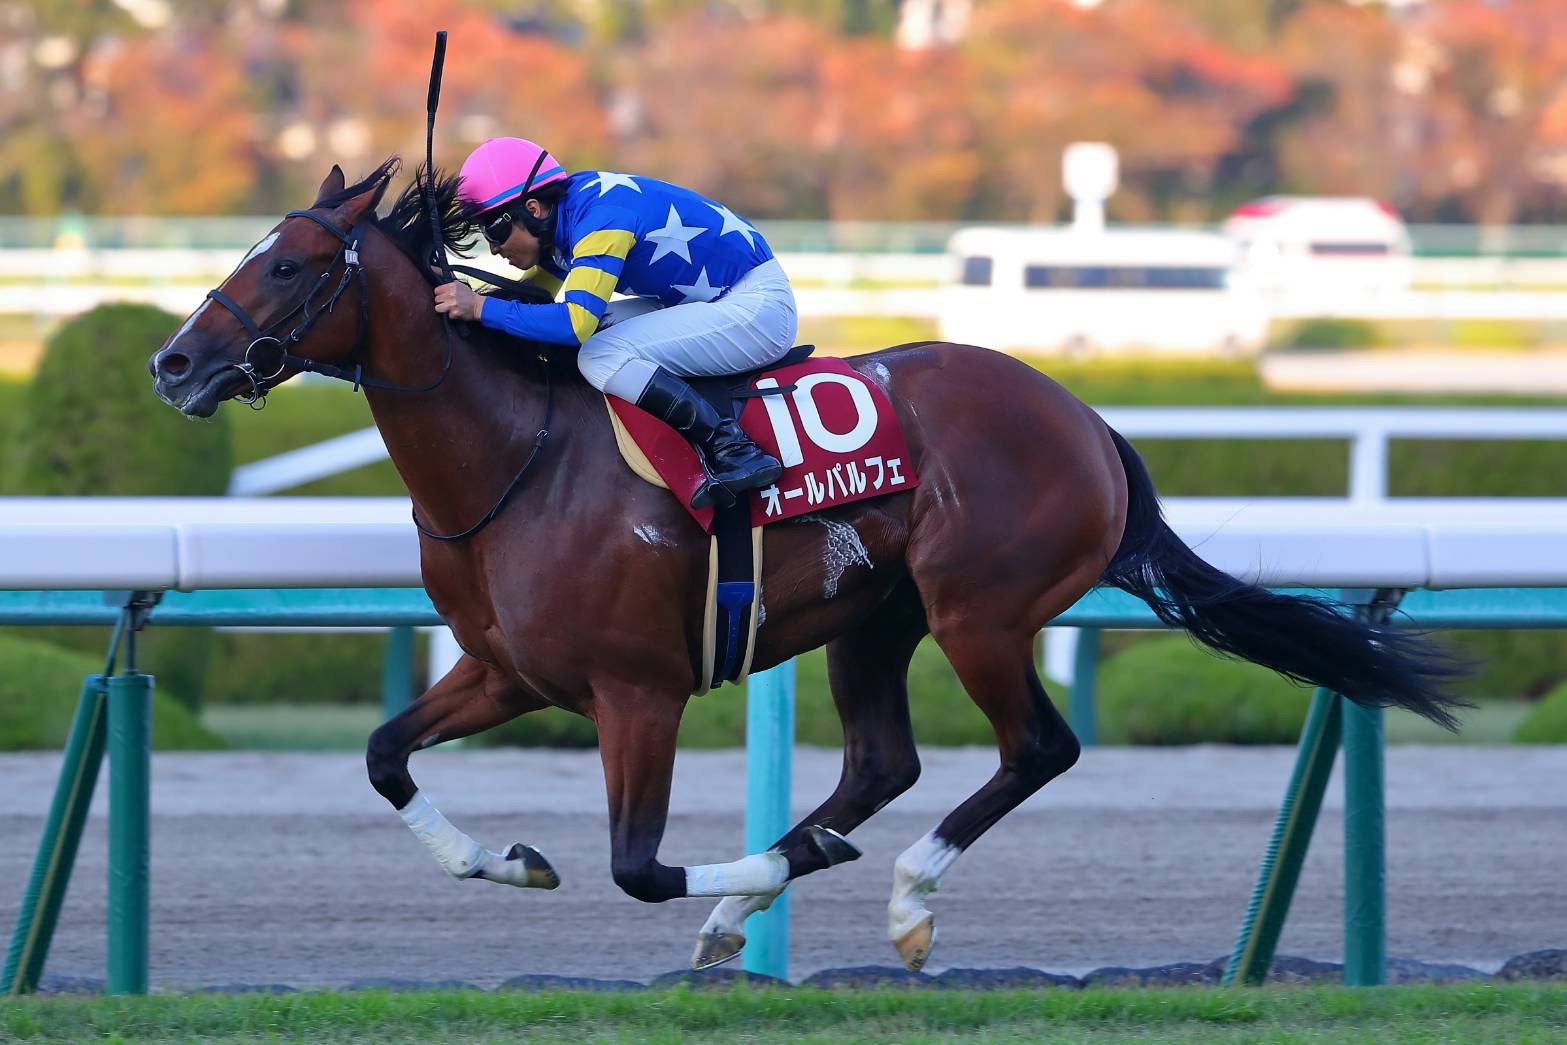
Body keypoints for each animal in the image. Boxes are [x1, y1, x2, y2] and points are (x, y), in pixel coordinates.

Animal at [144, 159, 1454, 977]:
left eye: (287, 267)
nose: (171, 364)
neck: (516, 459)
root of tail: (1083, 417)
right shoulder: (509, 671)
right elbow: (382, 756)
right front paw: (506, 860)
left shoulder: (638, 691)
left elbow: (637, 868)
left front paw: (737, 880)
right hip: (877, 615)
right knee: (882, 761)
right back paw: (773, 887)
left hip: (980, 609)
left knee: (1036, 748)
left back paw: (895, 895)